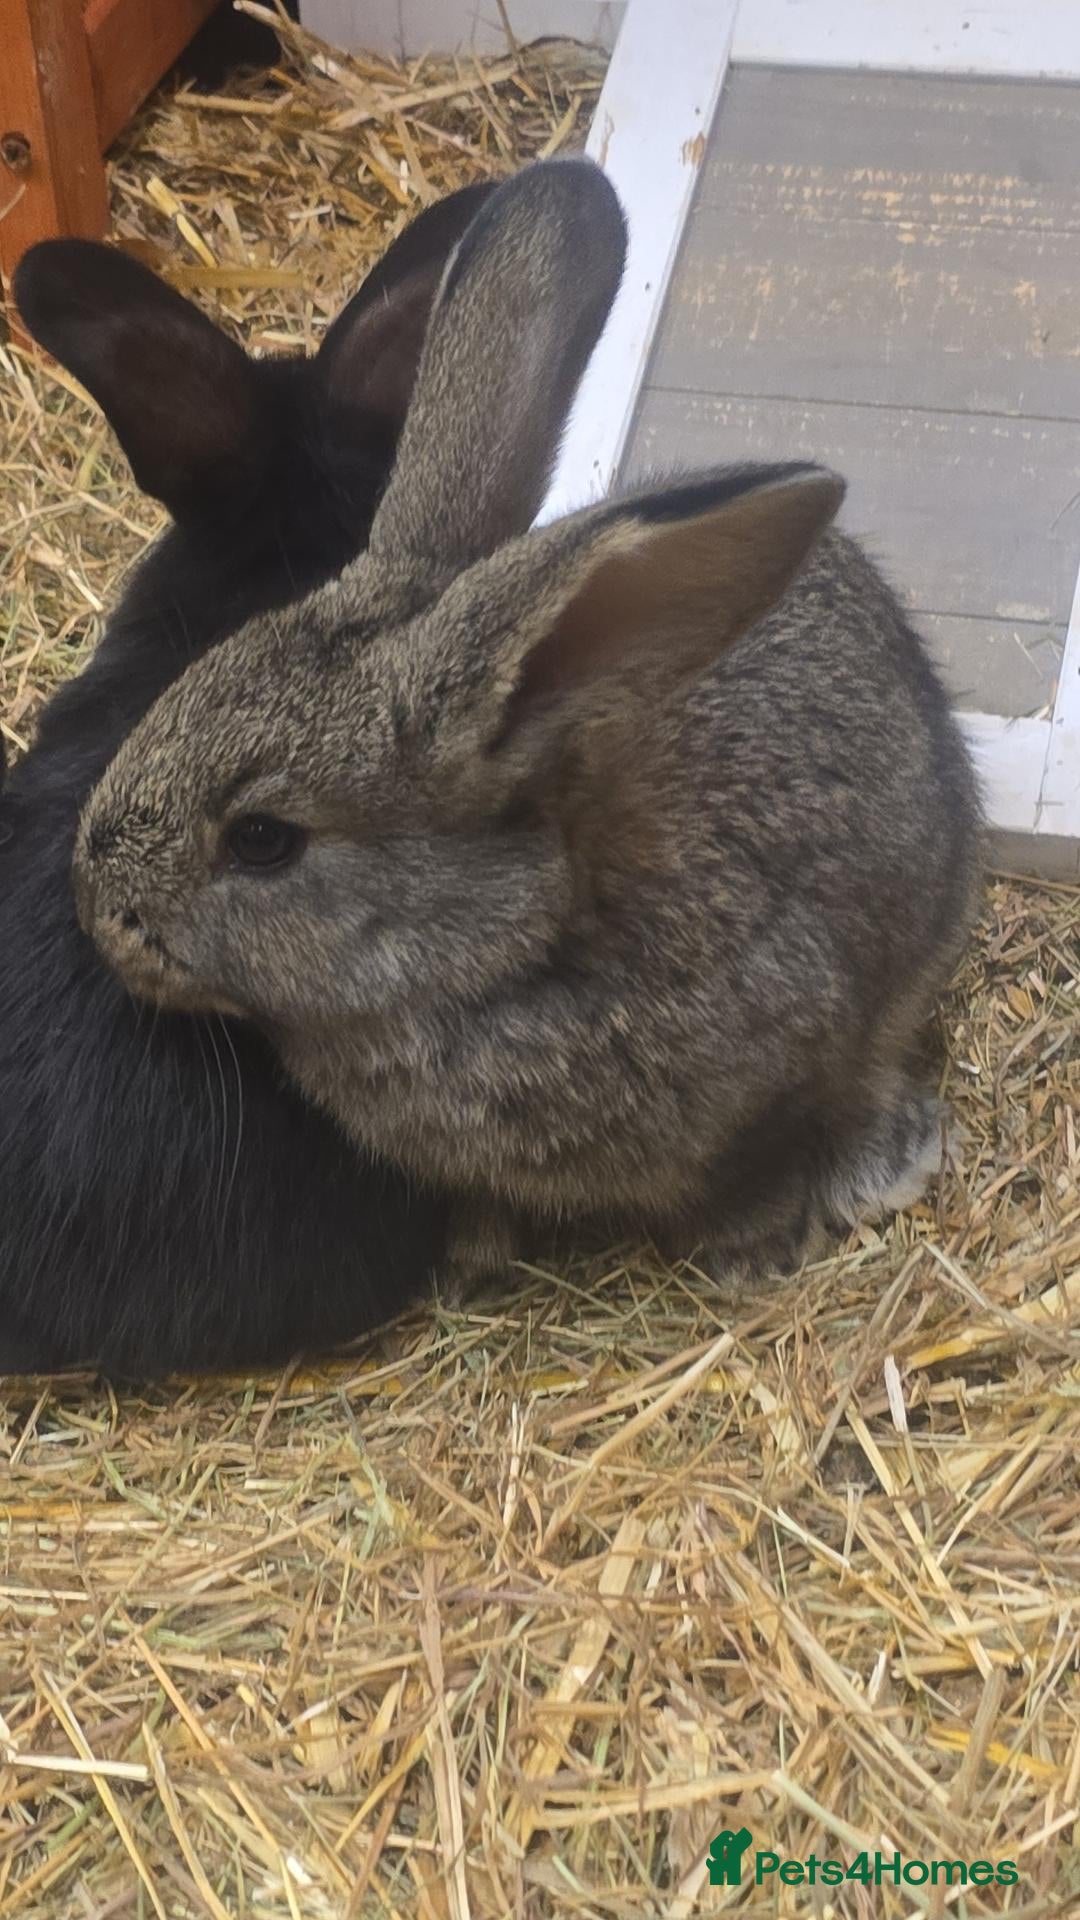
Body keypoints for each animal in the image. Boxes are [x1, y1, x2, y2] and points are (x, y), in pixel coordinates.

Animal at [73, 157, 983, 1301]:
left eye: (263, 840)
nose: (93, 907)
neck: (507, 947)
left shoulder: (779, 1073)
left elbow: (762, 1161)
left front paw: (751, 1255)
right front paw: (469, 1264)